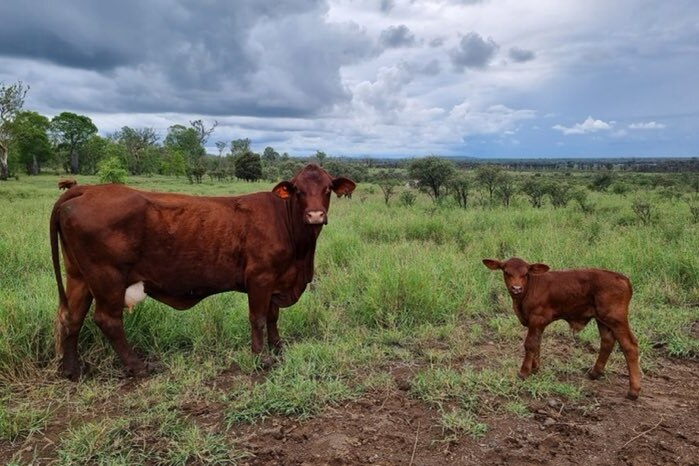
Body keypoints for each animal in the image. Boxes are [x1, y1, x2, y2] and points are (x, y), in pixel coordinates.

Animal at [50, 164, 356, 378]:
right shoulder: (260, 278)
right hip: (108, 278)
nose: (315, 215)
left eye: (327, 189)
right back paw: (139, 366)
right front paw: (261, 358)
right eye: (299, 190)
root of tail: (89, 189)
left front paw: (278, 349)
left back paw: (72, 370)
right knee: (108, 320)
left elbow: (272, 317)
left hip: (79, 276)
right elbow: (257, 318)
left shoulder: (276, 282)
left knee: (71, 317)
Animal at [484, 256, 644, 398]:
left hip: (616, 318)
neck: (525, 293)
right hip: (603, 320)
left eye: (525, 273)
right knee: (607, 341)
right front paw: (535, 368)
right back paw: (595, 373)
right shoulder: (537, 323)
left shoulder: (537, 318)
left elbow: (530, 344)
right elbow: (537, 343)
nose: (516, 288)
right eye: (506, 272)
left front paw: (523, 372)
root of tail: (622, 278)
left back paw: (633, 391)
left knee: (629, 345)